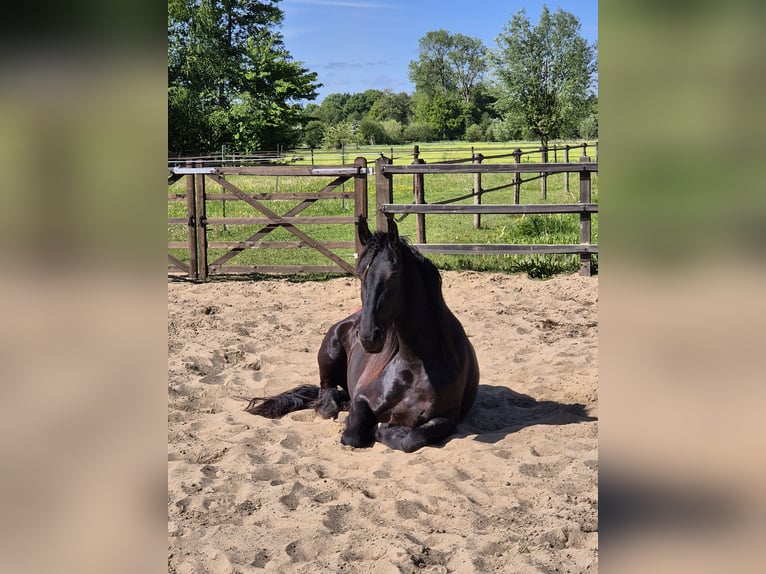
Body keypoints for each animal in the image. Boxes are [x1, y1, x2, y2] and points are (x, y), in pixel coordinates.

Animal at [245, 216, 479, 452]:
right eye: (360, 274)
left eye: (394, 274)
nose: (368, 336)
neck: (417, 364)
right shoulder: (362, 399)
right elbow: (353, 435)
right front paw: (379, 428)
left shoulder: (448, 418)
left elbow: (411, 439)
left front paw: (390, 430)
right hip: (329, 355)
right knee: (327, 396)